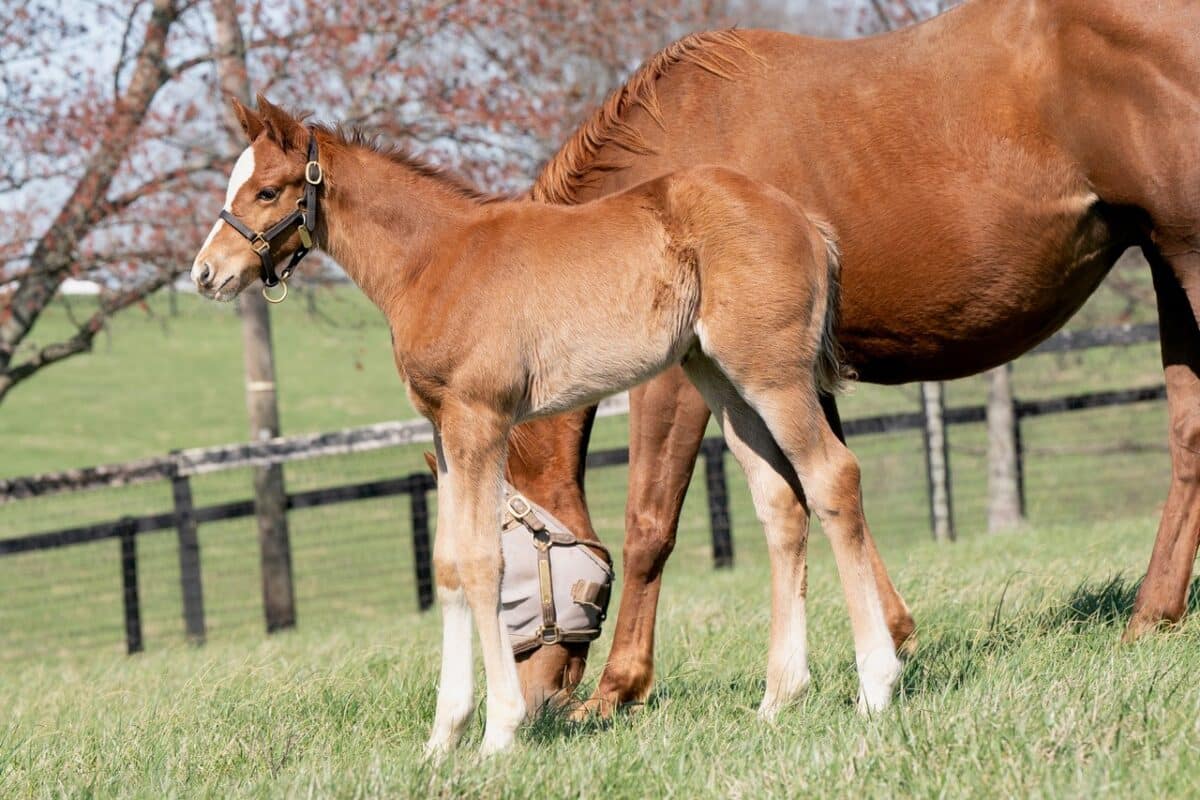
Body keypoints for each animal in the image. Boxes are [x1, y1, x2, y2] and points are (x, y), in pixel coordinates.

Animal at [187, 97, 902, 753]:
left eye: (267, 190)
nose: (205, 273)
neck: (434, 259)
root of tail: (806, 219)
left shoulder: (479, 420)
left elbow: (482, 562)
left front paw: (498, 732)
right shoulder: (443, 429)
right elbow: (447, 564)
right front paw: (442, 738)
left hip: (773, 377)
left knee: (832, 477)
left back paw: (876, 685)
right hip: (722, 383)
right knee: (781, 505)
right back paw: (778, 699)